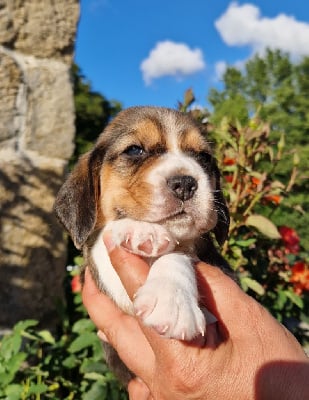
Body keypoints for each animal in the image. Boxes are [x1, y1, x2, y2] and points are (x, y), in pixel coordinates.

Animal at [54, 105, 229, 382]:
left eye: (203, 157)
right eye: (135, 150)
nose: (185, 183)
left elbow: (178, 253)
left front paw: (171, 301)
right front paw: (140, 229)